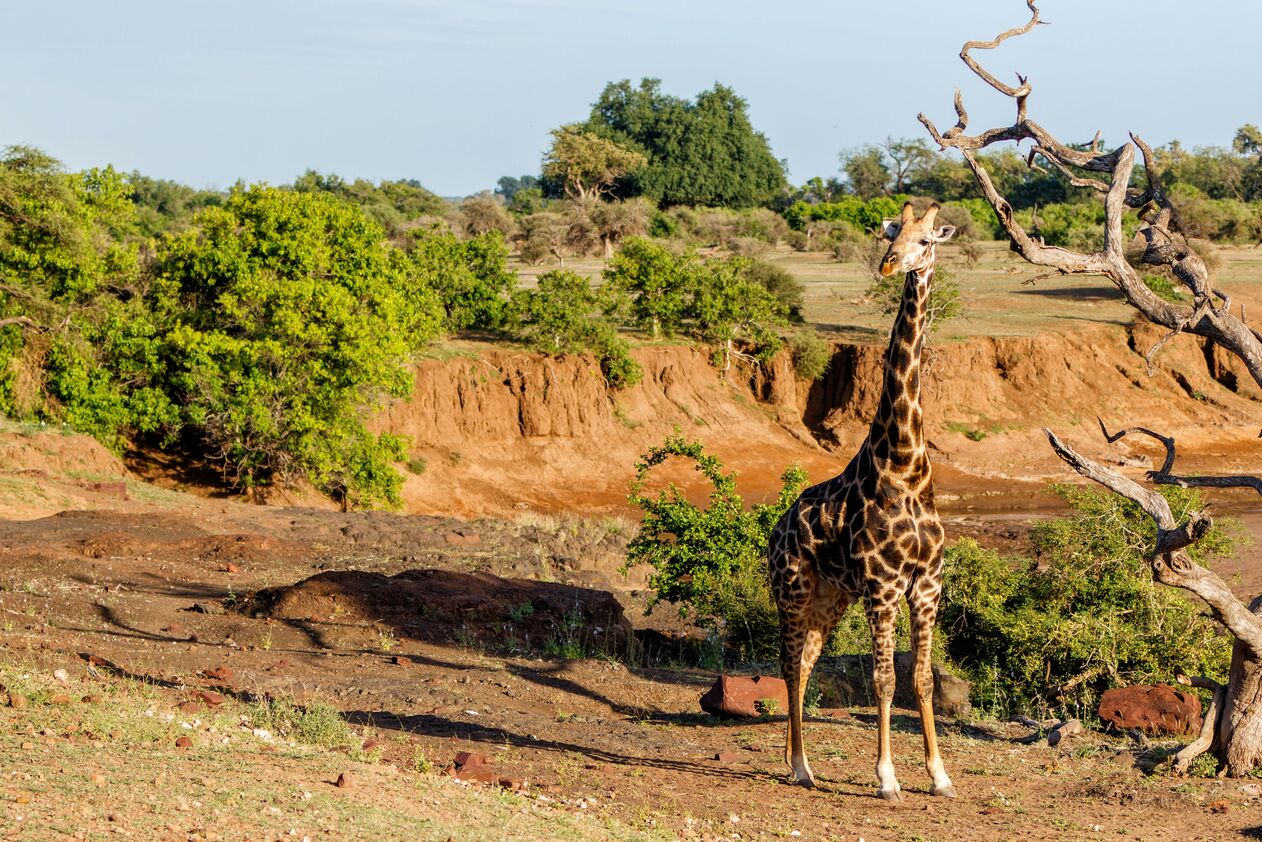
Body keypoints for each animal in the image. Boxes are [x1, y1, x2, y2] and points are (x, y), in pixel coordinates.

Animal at [768, 201, 956, 802]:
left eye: (926, 240)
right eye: (891, 235)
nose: (889, 264)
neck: (905, 464)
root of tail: (777, 525)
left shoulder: (926, 586)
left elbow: (921, 679)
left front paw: (939, 776)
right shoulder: (883, 587)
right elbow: (883, 679)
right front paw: (887, 778)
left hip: (832, 597)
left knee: (805, 663)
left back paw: (797, 762)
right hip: (793, 587)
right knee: (789, 664)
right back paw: (800, 765)